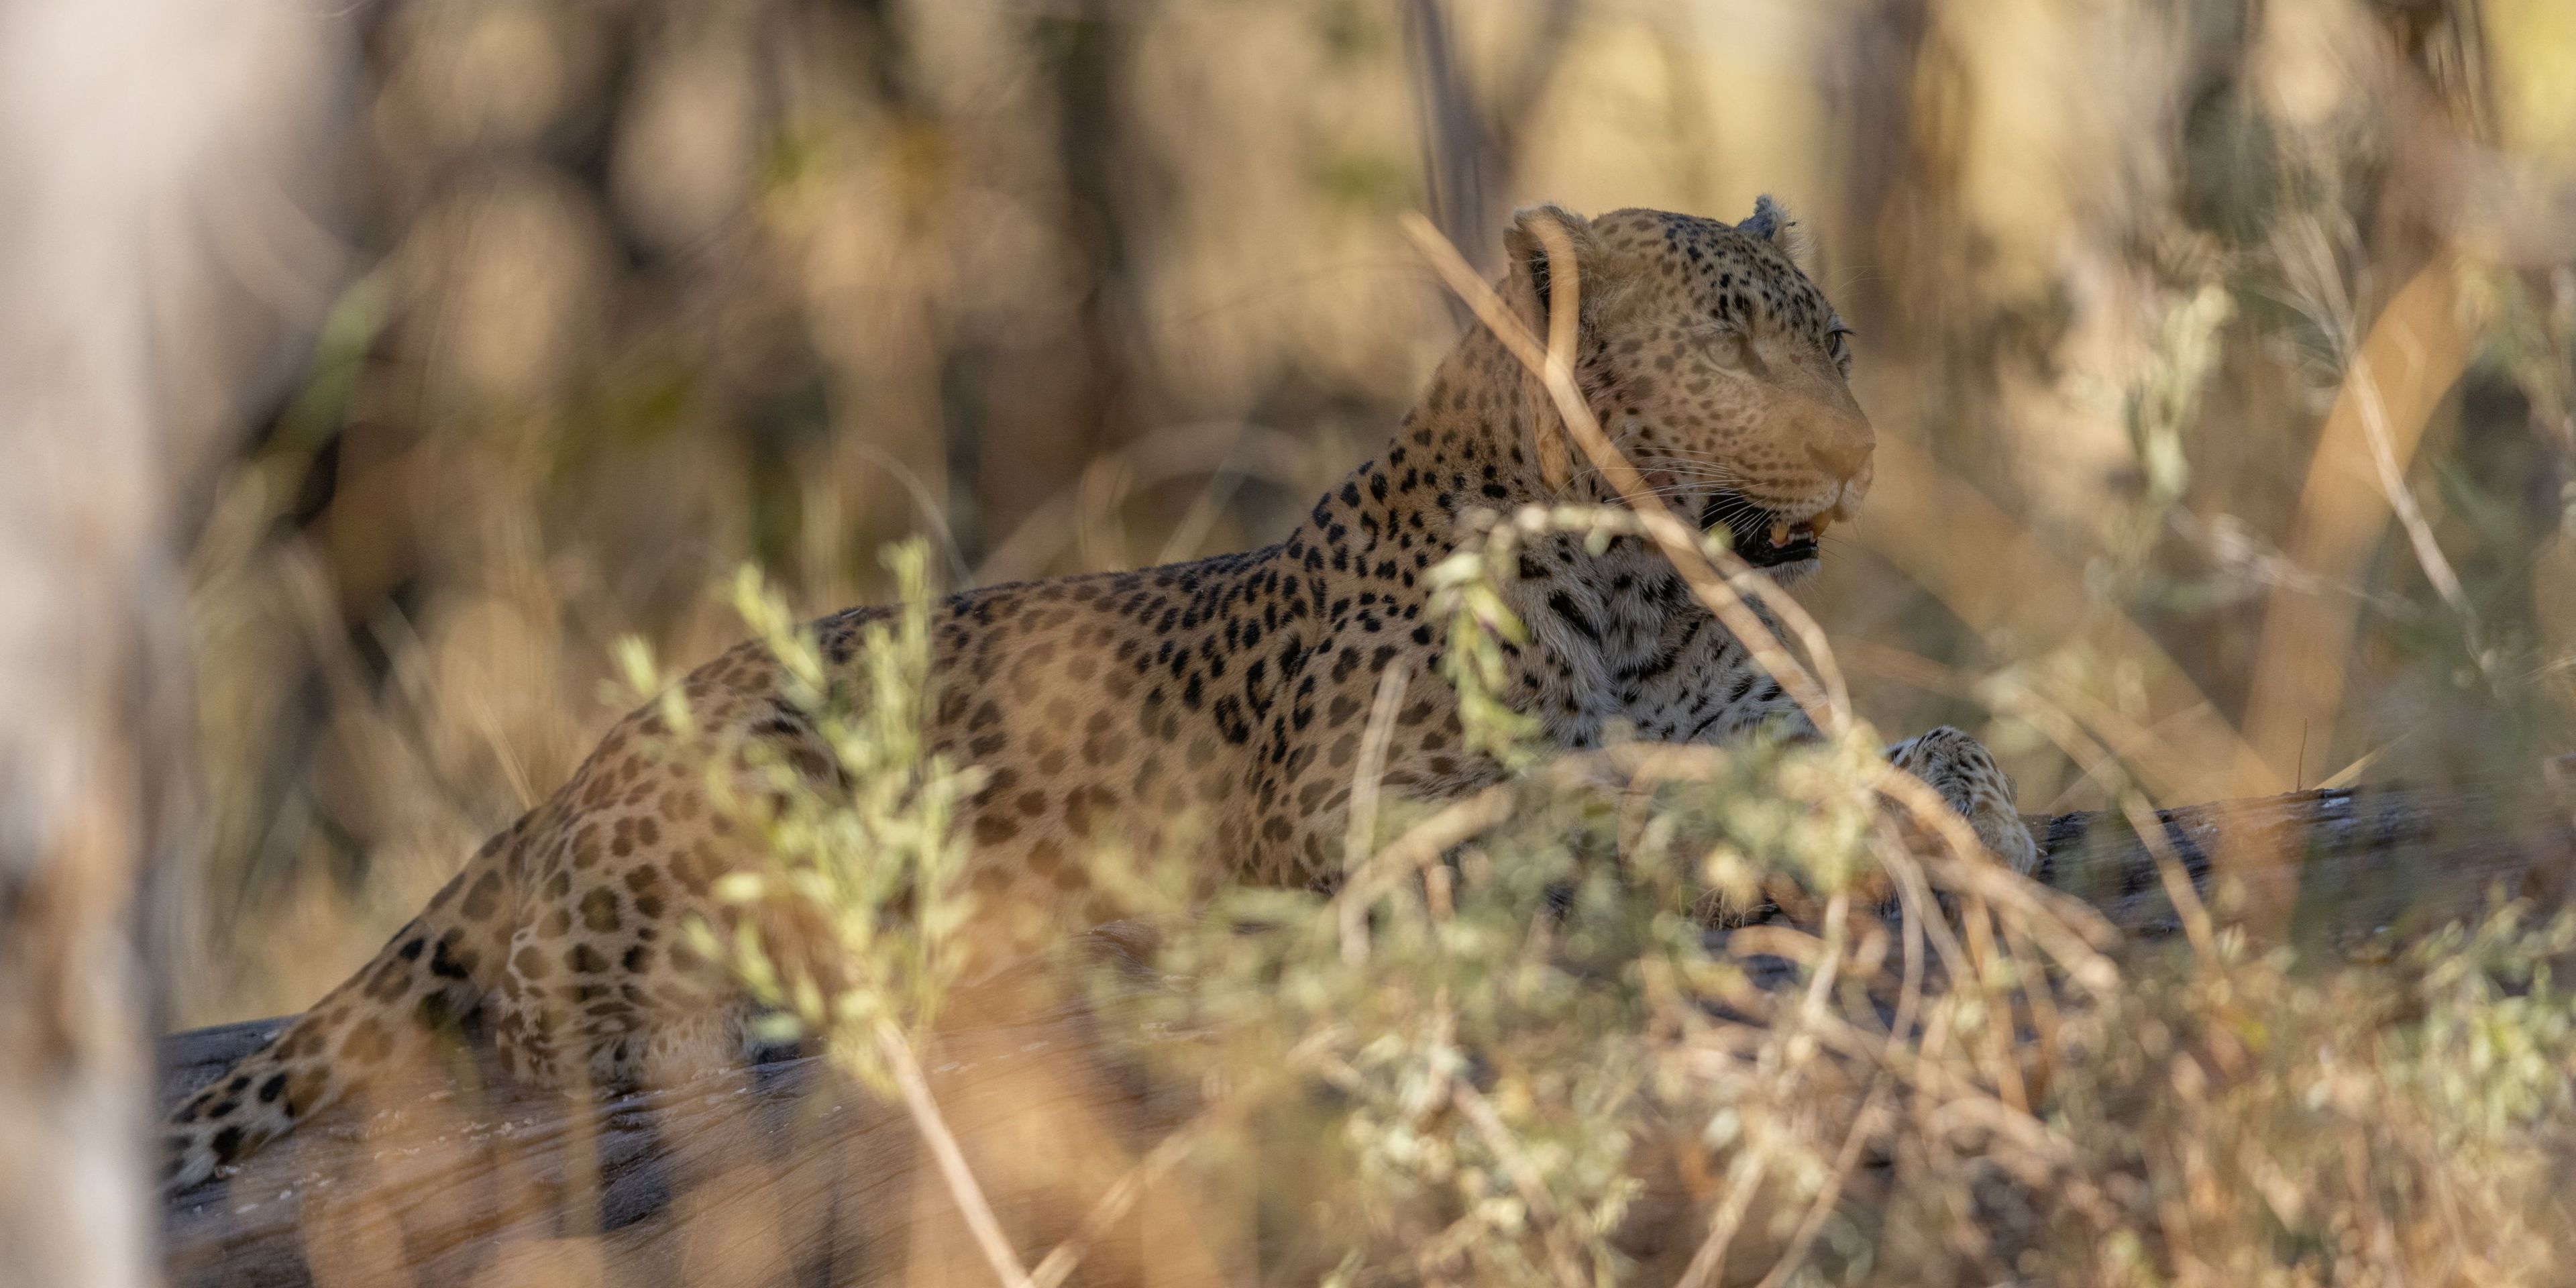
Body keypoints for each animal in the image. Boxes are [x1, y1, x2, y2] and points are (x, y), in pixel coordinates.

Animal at [164, 199, 2037, 1192]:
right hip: (756, 780)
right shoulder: (1375, 829)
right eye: (1726, 342)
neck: (1645, 590)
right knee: (569, 1021)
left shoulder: (1747, 716)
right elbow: (1591, 806)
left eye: (1834, 339)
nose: (1862, 459)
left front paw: (1974, 797)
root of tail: (562, 781)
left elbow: (1881, 746)